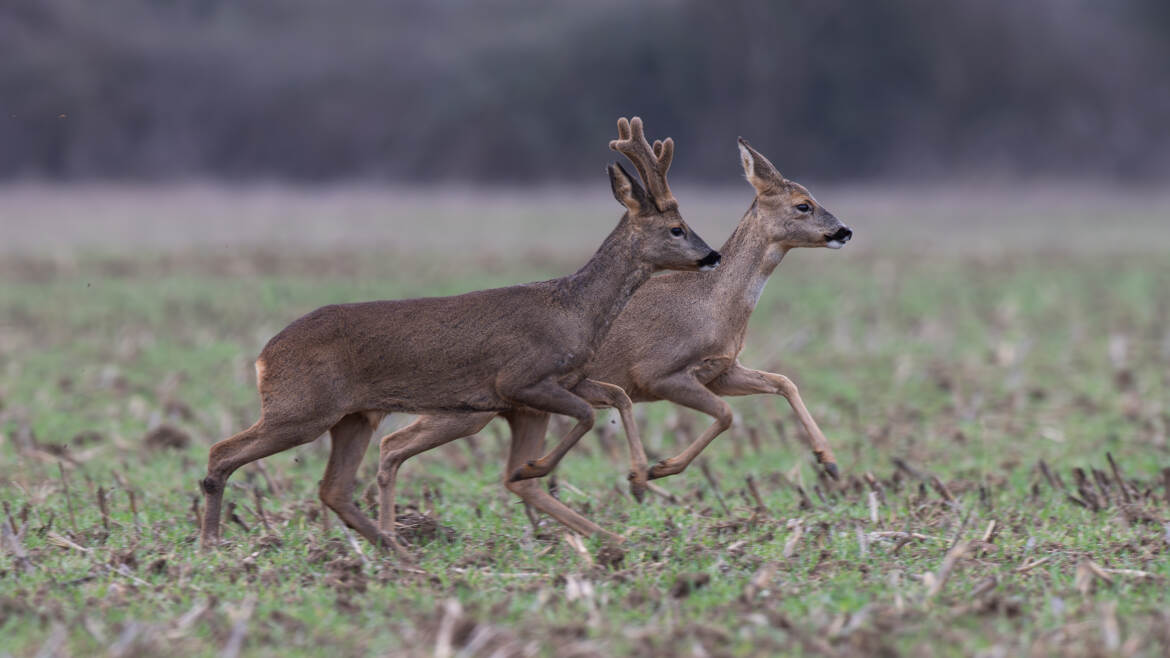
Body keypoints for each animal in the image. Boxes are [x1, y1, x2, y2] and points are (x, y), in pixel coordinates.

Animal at [196, 116, 716, 547]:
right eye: (676, 228)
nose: (711, 256)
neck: (574, 310)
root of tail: (263, 357)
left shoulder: (560, 383)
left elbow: (618, 398)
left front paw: (642, 477)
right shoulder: (521, 379)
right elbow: (588, 415)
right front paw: (539, 466)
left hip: (353, 415)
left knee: (334, 487)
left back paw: (396, 548)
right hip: (302, 407)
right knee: (222, 451)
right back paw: (210, 541)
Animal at [376, 135, 851, 540]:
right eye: (803, 205)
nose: (844, 231)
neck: (714, 303)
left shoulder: (722, 371)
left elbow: (783, 382)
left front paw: (829, 463)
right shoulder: (659, 371)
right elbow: (725, 416)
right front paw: (656, 470)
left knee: (411, 450)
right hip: (466, 408)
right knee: (391, 442)